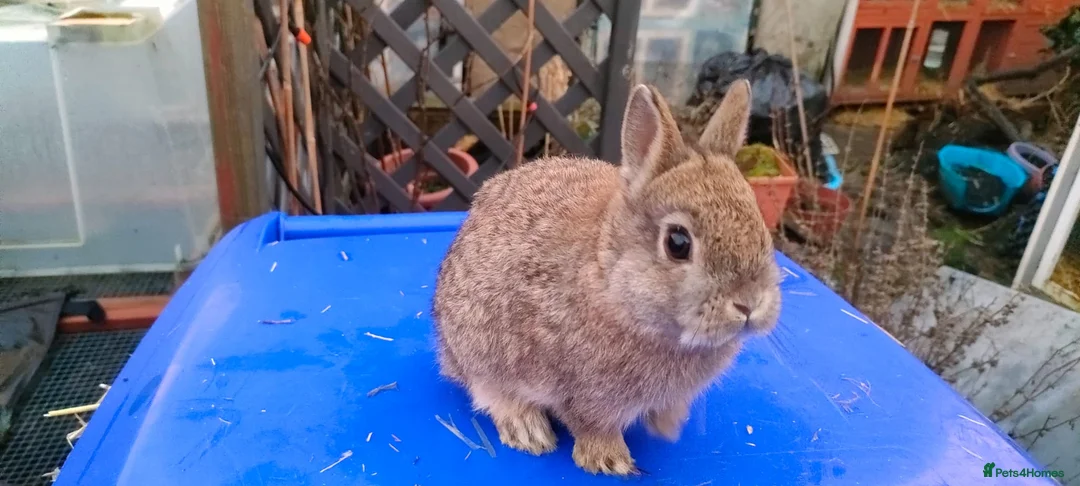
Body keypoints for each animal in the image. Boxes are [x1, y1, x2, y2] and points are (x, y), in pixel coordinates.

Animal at [431, 80, 781, 477]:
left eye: (759, 222)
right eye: (677, 243)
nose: (749, 303)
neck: (612, 285)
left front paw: (668, 426)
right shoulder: (581, 391)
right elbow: (592, 425)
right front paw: (609, 460)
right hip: (477, 350)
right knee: (486, 390)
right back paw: (528, 430)